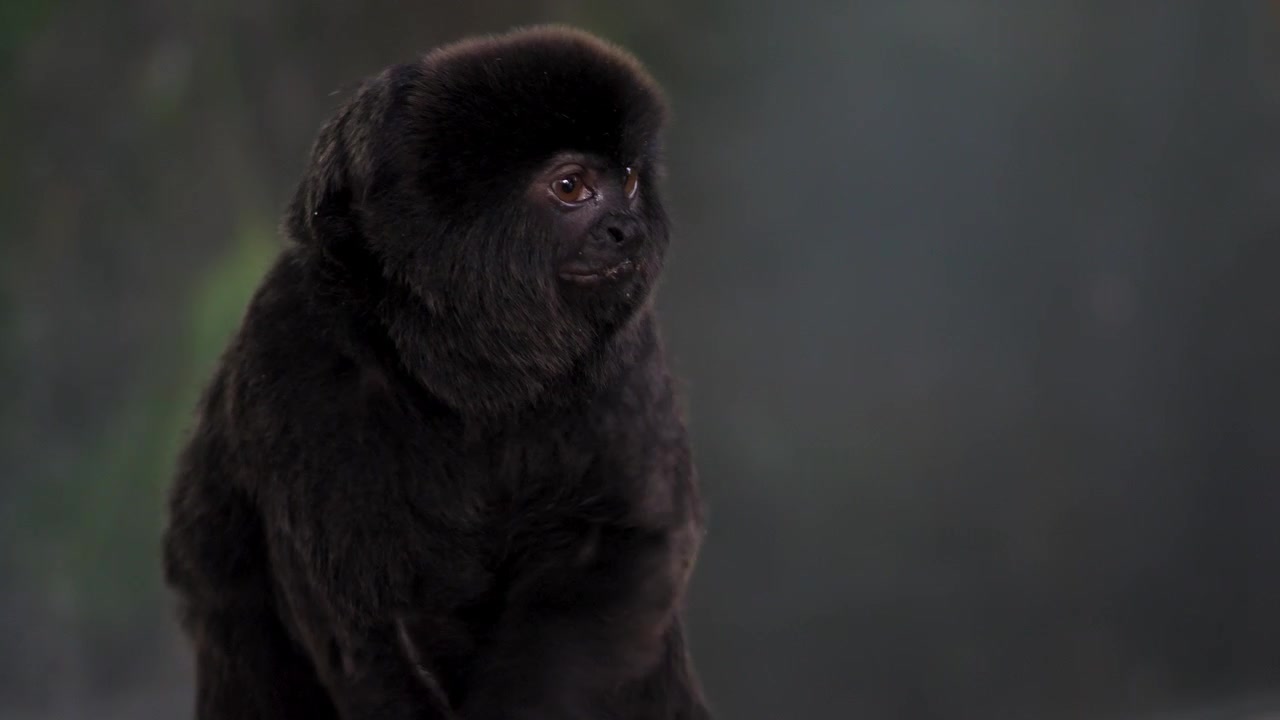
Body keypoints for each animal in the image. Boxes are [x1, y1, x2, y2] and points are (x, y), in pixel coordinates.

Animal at [161, 25, 710, 720]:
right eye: (571, 187)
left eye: (631, 180)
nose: (625, 228)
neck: (451, 373)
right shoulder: (291, 361)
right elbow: (362, 621)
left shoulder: (626, 357)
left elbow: (624, 540)